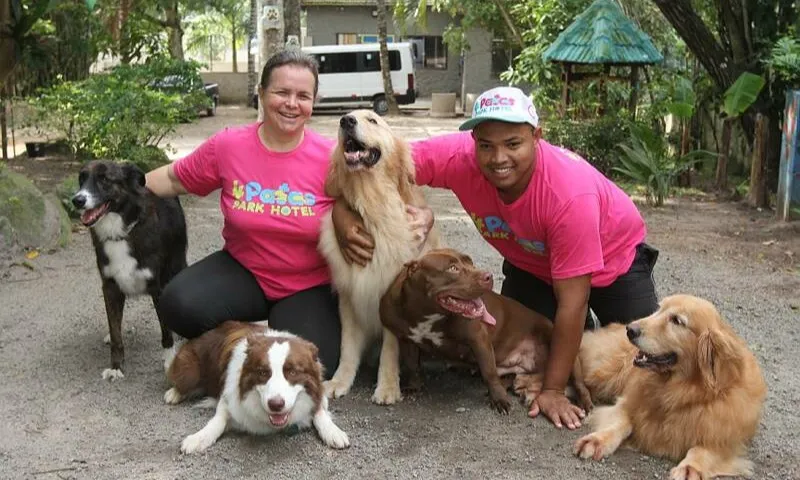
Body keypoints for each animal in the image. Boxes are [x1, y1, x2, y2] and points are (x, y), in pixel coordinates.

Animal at [318, 111, 440, 404]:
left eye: (373, 120)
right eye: (347, 118)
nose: (345, 120)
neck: (373, 205)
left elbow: (390, 350)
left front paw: (387, 387)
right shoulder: (349, 297)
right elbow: (348, 346)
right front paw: (340, 381)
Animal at [382, 248, 592, 412]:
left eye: (470, 262)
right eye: (452, 268)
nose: (488, 276)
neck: (427, 313)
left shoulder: (478, 338)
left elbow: (489, 371)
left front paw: (498, 399)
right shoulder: (407, 338)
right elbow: (412, 364)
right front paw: (413, 386)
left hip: (558, 337)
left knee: (578, 381)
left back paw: (584, 401)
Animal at [572, 294, 764, 478]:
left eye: (677, 321)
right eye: (659, 309)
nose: (631, 330)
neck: (677, 391)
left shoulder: (727, 439)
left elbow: (702, 451)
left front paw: (690, 468)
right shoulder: (626, 403)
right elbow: (619, 423)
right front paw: (596, 440)